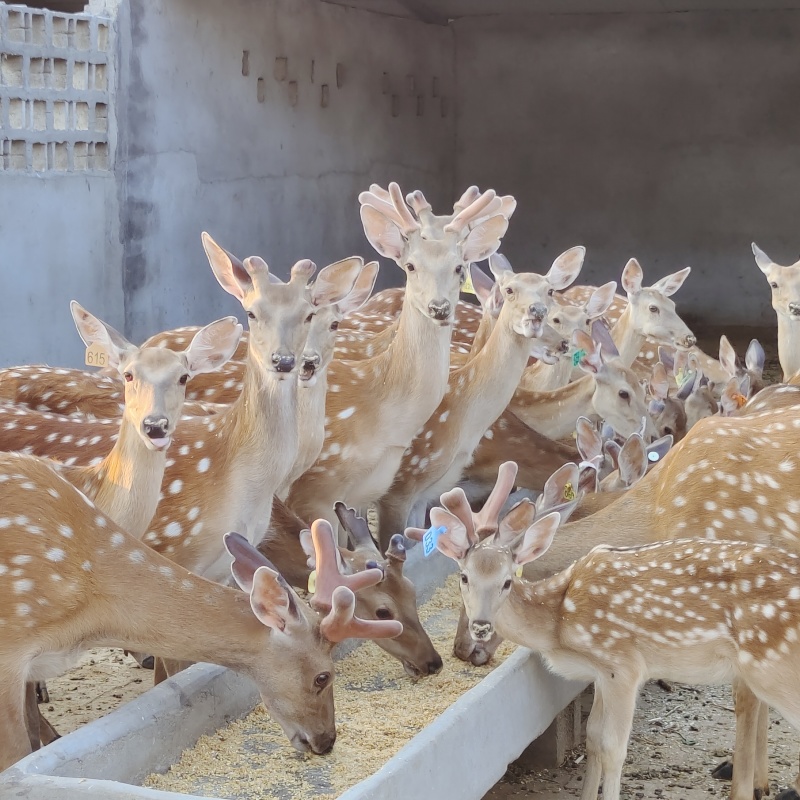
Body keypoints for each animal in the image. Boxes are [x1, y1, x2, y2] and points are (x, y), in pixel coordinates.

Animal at [430, 494, 800, 800]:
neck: (559, 622)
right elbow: (593, 737)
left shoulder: (623, 664)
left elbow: (613, 747)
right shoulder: (599, 672)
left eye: (507, 581)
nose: (480, 625)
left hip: (774, 668)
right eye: (464, 577)